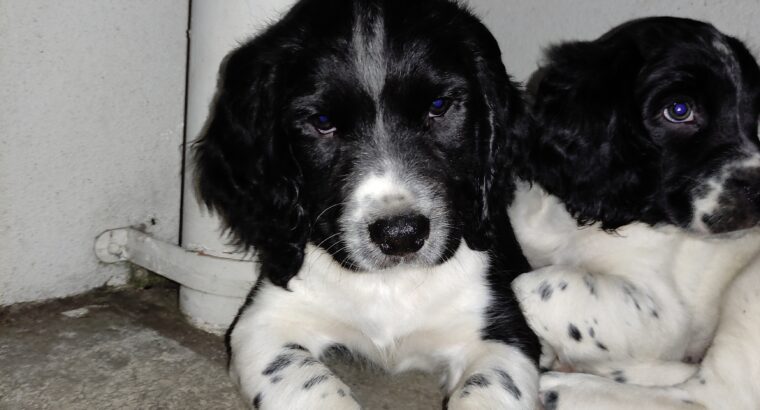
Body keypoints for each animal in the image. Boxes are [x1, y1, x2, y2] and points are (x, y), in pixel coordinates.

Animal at [194, 1, 540, 408]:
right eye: (322, 122)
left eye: (439, 106)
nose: (400, 235)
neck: (389, 284)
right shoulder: (266, 321)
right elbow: (310, 384)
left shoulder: (502, 333)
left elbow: (489, 388)